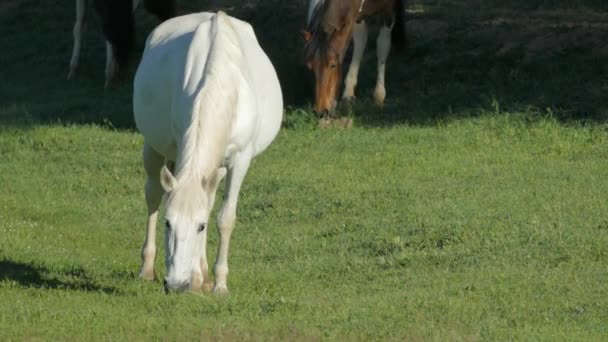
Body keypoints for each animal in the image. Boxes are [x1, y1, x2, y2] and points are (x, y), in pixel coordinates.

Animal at [133, 10, 282, 294]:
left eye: (201, 227)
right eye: (168, 223)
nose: (175, 285)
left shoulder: (239, 159)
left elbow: (224, 217)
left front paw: (218, 284)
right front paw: (196, 278)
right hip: (153, 146)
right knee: (153, 194)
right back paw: (148, 269)